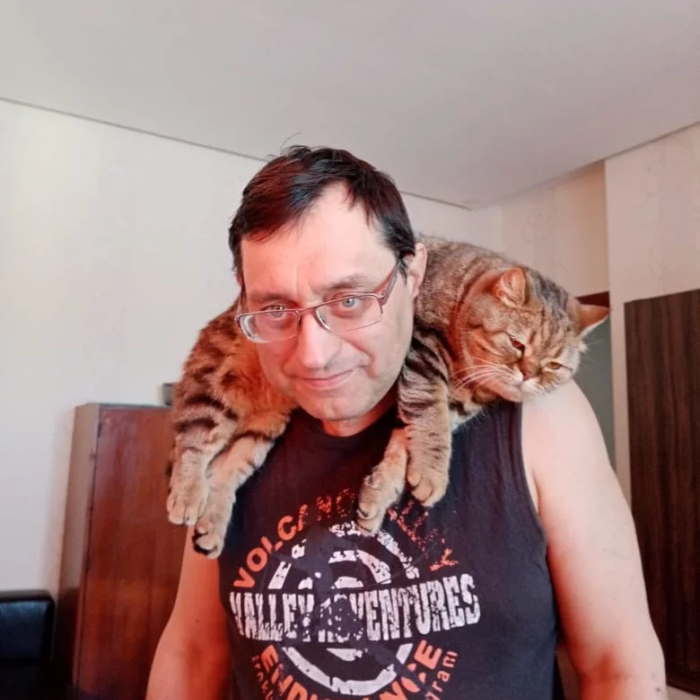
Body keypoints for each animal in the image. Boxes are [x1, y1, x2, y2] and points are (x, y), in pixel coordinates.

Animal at [166, 236, 608, 557]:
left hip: (262, 428)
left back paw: (211, 524)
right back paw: (186, 495)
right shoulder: (422, 354)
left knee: (225, 470)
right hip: (216, 387)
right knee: (193, 444)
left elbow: (403, 447)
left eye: (554, 366)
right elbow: (430, 424)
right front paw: (431, 474)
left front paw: (382, 493)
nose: (528, 375)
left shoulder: (453, 404)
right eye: (517, 344)